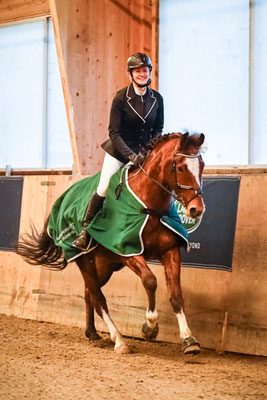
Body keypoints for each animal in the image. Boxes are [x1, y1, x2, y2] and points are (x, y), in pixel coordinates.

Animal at [16, 133, 205, 354]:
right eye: (181, 167)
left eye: (202, 165)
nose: (196, 210)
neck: (150, 206)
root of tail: (63, 198)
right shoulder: (128, 251)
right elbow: (150, 280)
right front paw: (149, 327)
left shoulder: (170, 250)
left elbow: (176, 294)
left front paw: (189, 340)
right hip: (84, 260)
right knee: (98, 297)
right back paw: (119, 340)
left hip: (104, 265)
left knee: (89, 293)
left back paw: (92, 333)